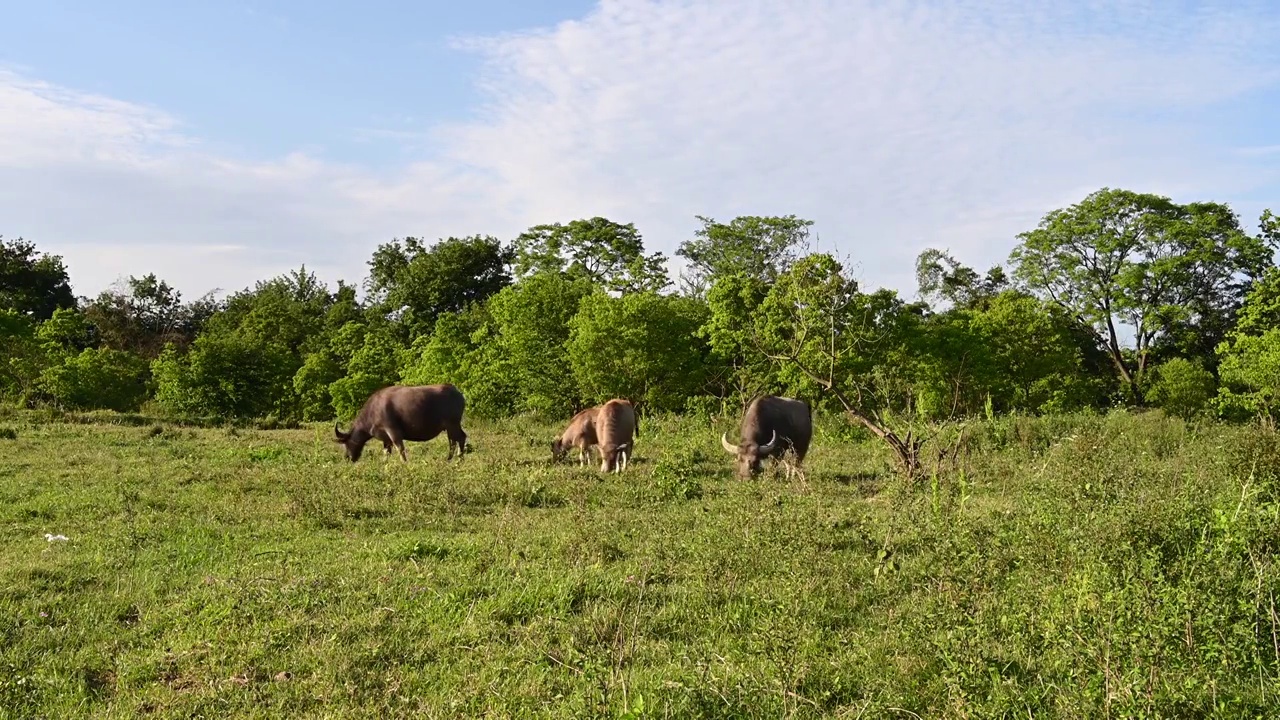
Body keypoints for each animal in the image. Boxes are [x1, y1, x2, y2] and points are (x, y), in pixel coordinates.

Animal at [332, 384, 468, 461]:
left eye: (345, 443)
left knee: (457, 440)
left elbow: (400, 450)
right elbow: (386, 454)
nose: (347, 458)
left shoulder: (393, 431)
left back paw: (455, 459)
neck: (373, 411)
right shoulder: (386, 439)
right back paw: (455, 459)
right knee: (457, 439)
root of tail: (458, 394)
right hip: (453, 426)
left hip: (452, 424)